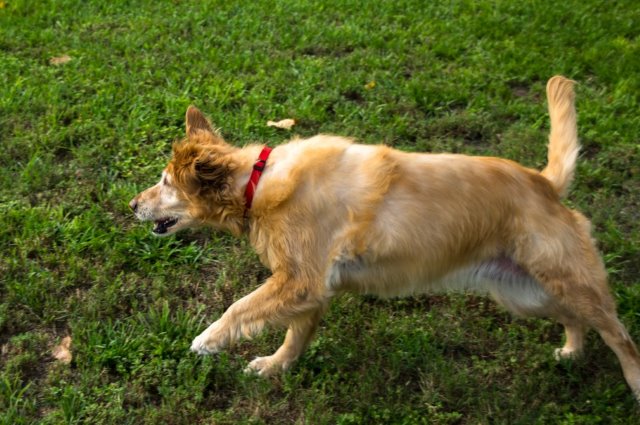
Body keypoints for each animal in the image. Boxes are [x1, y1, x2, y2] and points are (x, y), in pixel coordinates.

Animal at [129, 76, 640, 401]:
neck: (257, 181)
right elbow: (296, 335)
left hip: (567, 280)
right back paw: (571, 351)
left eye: (166, 183)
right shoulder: (311, 288)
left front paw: (208, 340)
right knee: (574, 320)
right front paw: (276, 366)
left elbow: (239, 308)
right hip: (525, 292)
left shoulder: (298, 281)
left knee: (619, 335)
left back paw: (633, 383)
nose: (132, 204)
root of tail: (545, 183)